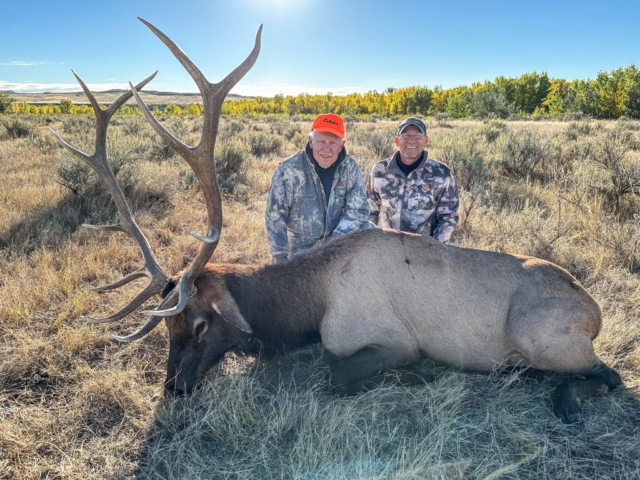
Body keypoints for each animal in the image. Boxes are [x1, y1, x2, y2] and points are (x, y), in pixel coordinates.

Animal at [50, 17, 621, 424]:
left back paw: (566, 400)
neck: (309, 302)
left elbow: (338, 373)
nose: (174, 387)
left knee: (609, 373)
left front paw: (419, 376)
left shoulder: (387, 340)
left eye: (199, 323)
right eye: (165, 330)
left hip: (544, 336)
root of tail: (595, 311)